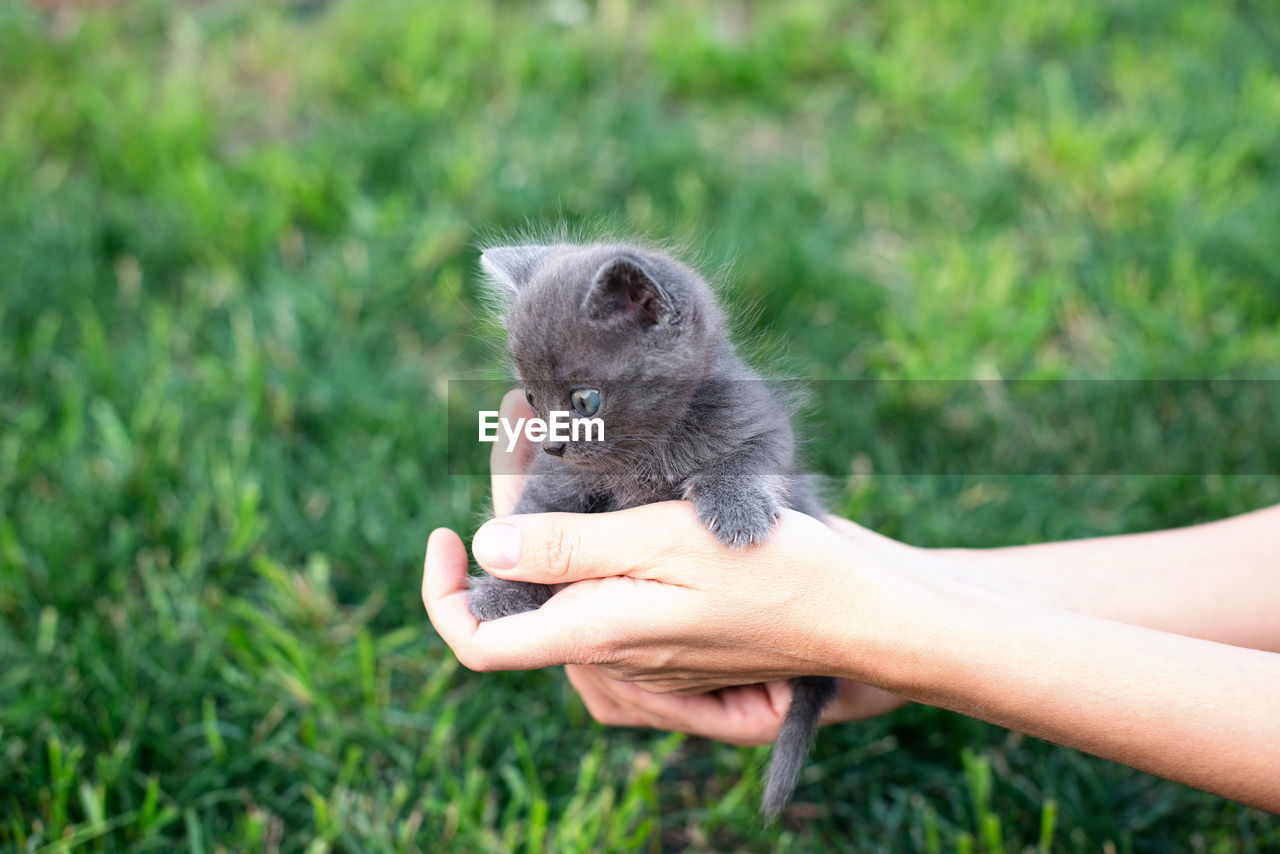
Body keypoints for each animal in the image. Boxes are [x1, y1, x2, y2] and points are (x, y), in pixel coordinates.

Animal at [471, 240, 839, 819]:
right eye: (530, 398)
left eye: (585, 400)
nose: (552, 443)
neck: (645, 451)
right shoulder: (560, 479)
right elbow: (536, 510)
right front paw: (503, 587)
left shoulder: (759, 423)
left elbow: (749, 459)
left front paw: (737, 508)